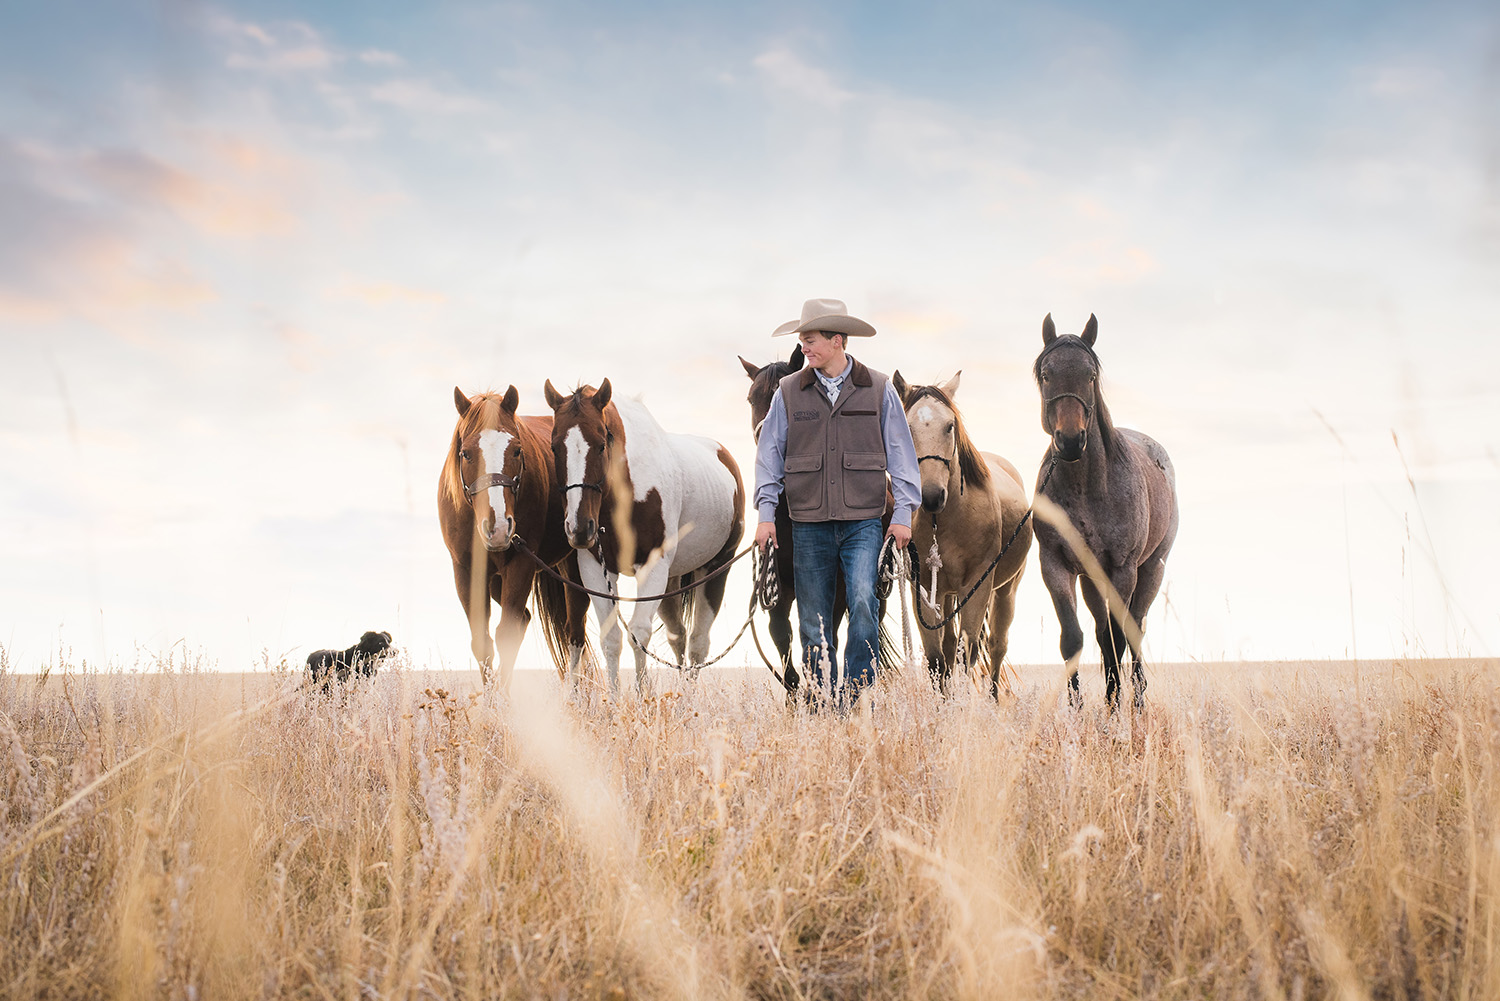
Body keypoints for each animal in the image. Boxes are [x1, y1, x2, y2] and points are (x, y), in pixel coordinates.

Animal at [438, 387, 588, 693]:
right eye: (465, 454)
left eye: (517, 450)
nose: (497, 527)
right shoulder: (466, 573)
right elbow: (482, 641)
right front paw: (492, 698)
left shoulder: (521, 564)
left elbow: (505, 633)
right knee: (526, 620)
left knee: (574, 629)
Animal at [543, 378, 747, 696]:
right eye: (554, 447)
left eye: (601, 445)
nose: (579, 529)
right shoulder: (595, 569)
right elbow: (611, 638)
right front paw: (614, 702)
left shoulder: (653, 568)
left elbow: (638, 634)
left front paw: (641, 699)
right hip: (671, 582)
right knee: (678, 636)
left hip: (714, 569)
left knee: (698, 643)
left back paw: (688, 699)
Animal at [888, 372, 1032, 702]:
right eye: (906, 427)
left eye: (950, 425)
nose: (931, 496)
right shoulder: (924, 589)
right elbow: (936, 658)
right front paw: (944, 705)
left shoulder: (976, 586)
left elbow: (969, 653)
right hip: (946, 593)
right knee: (951, 645)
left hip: (1005, 590)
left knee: (996, 646)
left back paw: (993, 699)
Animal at [1038, 313, 1176, 711]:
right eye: (1046, 373)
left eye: (1090, 375)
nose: (1070, 441)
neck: (1087, 486)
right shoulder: (1055, 565)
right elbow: (1073, 638)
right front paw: (1077, 706)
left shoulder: (1123, 569)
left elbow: (1118, 637)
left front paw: (1115, 706)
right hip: (1091, 579)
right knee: (1102, 630)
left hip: (1151, 570)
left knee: (1135, 629)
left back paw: (1137, 698)